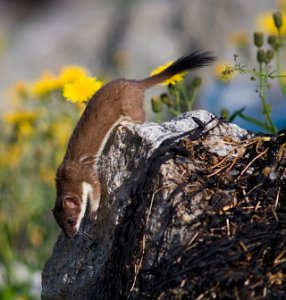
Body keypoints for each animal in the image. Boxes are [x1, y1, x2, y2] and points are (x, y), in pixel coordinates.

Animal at [52, 52, 216, 239]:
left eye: (70, 220)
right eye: (61, 224)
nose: (70, 235)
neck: (67, 174)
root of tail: (134, 83)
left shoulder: (87, 173)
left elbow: (96, 190)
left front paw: (93, 213)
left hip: (130, 106)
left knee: (140, 116)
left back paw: (124, 123)